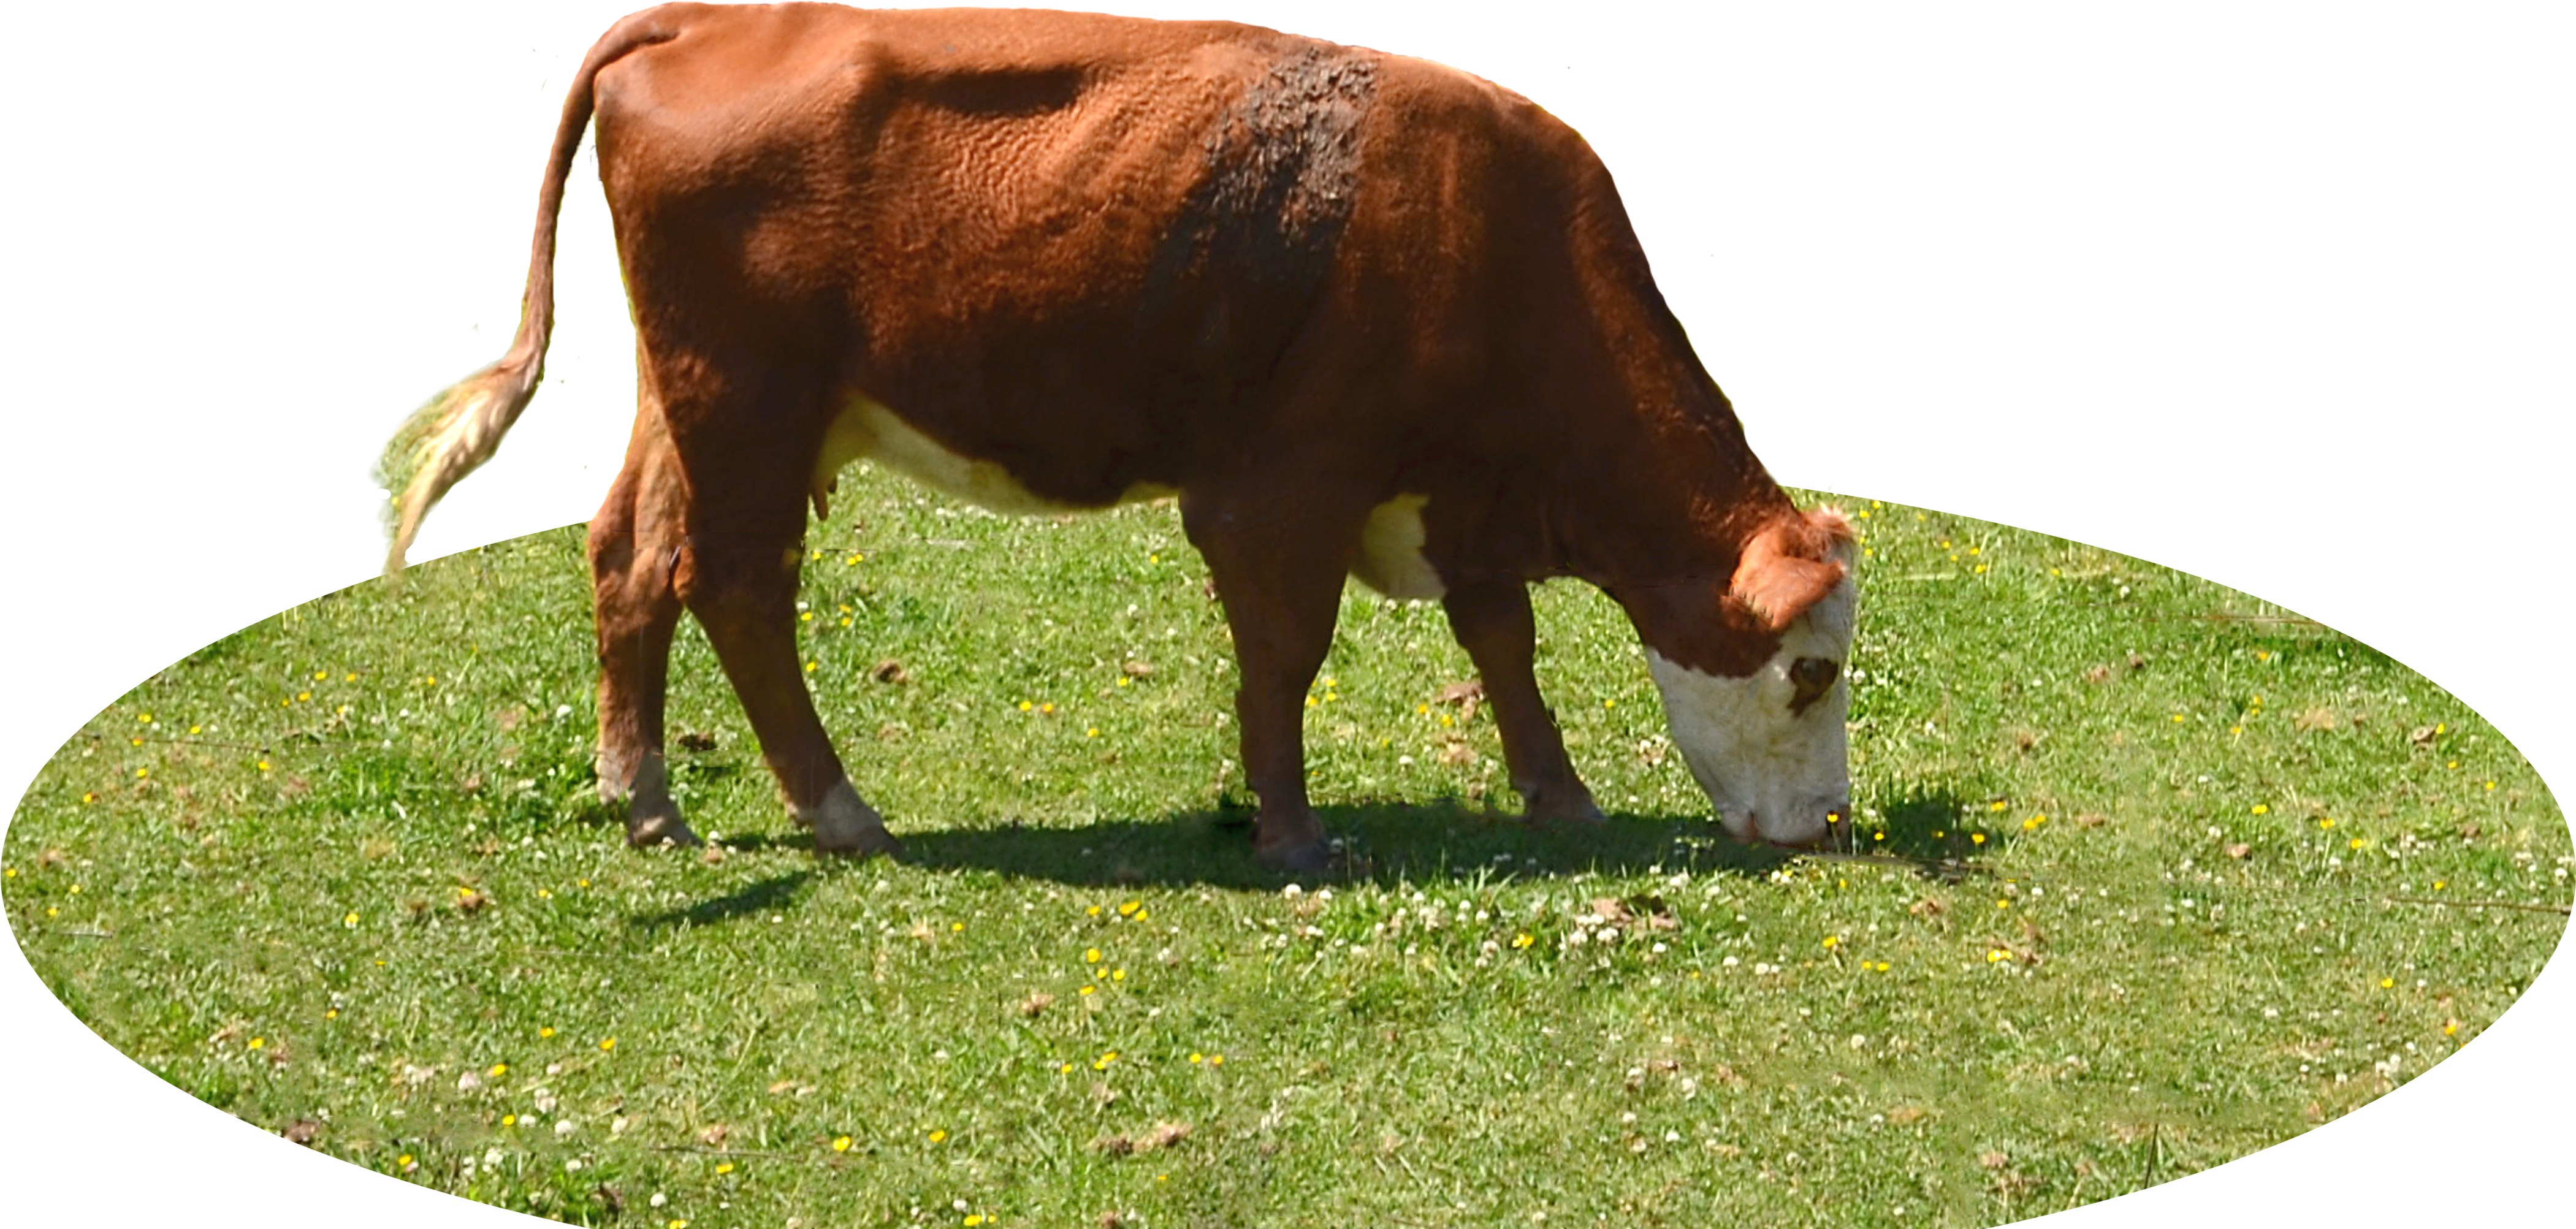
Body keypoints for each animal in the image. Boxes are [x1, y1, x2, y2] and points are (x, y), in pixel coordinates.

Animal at [369, 2, 1859, 874]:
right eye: (1809, 672)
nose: (1832, 825)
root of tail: (708, 19)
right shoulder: (1282, 489)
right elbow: (1285, 655)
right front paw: (1292, 833)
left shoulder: (1449, 492)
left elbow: (1504, 641)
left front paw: (1558, 795)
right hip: (751, 406)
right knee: (735, 586)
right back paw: (838, 811)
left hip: (692, 406)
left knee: (631, 559)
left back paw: (646, 797)